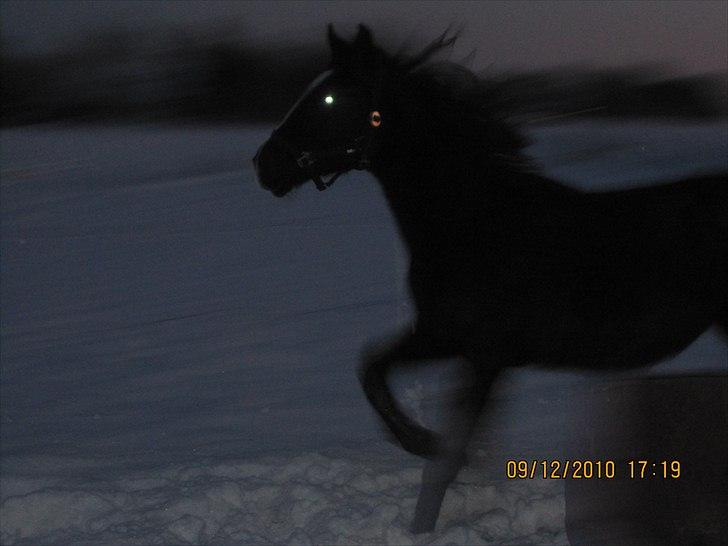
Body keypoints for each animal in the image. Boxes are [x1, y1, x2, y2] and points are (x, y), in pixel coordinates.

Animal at [253, 25, 724, 532]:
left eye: (329, 99)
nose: (263, 163)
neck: (475, 225)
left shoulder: (478, 352)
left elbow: (440, 455)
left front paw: (425, 460)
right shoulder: (449, 342)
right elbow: (373, 368)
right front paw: (423, 448)